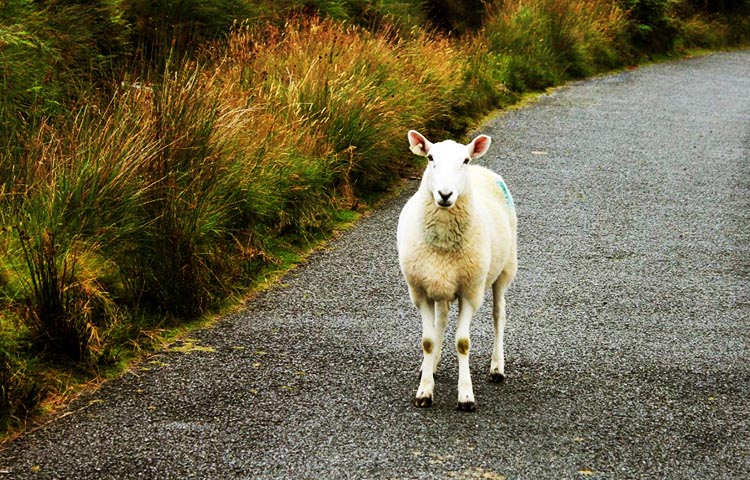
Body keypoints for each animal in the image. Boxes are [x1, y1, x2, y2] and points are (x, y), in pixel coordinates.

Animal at [400, 129, 516, 410]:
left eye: (464, 160)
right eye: (430, 158)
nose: (445, 194)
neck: (442, 243)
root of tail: (483, 169)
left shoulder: (470, 292)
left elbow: (463, 343)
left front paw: (465, 396)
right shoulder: (420, 291)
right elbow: (428, 341)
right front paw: (424, 391)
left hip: (504, 270)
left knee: (499, 315)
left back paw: (497, 368)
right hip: (441, 283)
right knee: (441, 319)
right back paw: (431, 366)